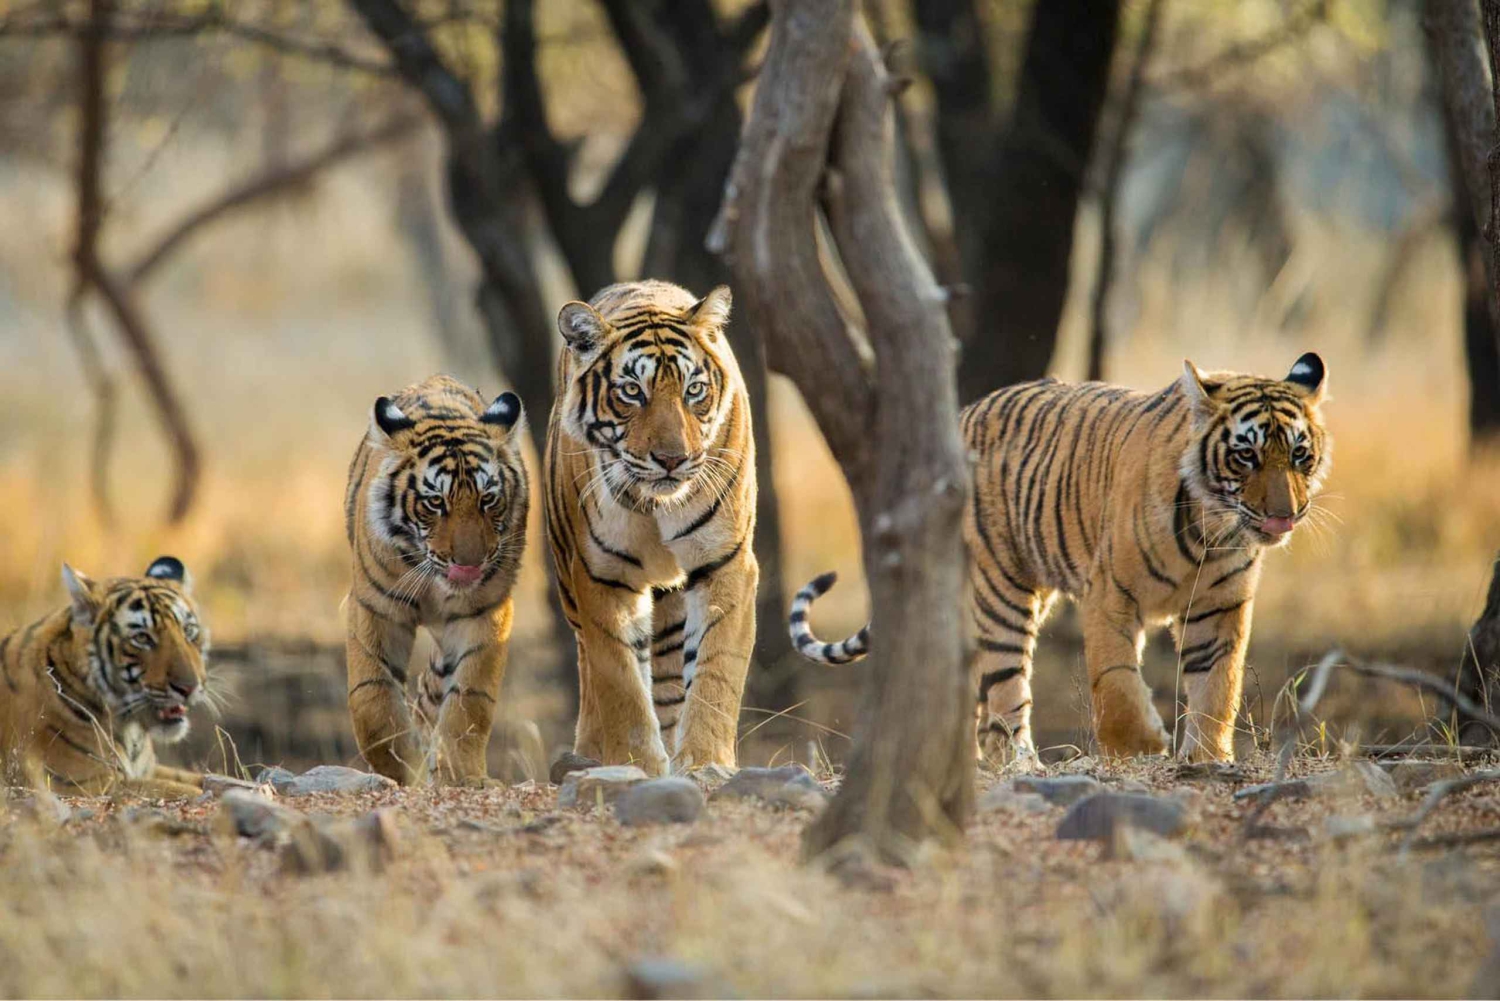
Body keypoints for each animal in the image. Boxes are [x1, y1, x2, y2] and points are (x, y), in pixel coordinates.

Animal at [0, 557, 210, 798]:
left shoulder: (147, 769)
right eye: (142, 638)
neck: (132, 732)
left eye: (189, 630)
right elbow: (178, 789)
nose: (189, 688)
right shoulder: (84, 783)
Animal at [344, 374, 529, 786]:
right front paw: (400, 769)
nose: (470, 564)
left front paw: (460, 776)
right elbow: (372, 700)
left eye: (488, 499)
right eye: (435, 502)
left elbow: (469, 701)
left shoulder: (485, 612)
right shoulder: (375, 608)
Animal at [545, 280, 757, 776]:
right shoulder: (602, 575)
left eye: (694, 390)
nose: (672, 459)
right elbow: (620, 681)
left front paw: (705, 762)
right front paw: (635, 763)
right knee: (590, 669)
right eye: (631, 392)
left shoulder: (726, 562)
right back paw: (587, 753)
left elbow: (716, 670)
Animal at [790, 353, 1331, 763]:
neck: (1211, 531)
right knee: (1005, 691)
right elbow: (1115, 680)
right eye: (1246, 456)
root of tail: (962, 415)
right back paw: (1019, 765)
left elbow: (1218, 686)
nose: (1285, 515)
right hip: (1001, 591)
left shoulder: (1219, 607)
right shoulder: (1110, 594)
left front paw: (1207, 757)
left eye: (1299, 454)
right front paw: (1140, 747)